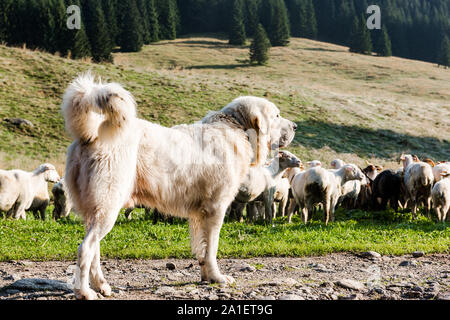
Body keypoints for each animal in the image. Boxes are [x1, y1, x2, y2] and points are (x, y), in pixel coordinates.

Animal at [60, 74, 298, 300]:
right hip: (108, 206)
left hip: (96, 210)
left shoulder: (200, 214)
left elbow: (202, 248)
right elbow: (212, 248)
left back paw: (102, 286)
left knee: (94, 250)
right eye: (277, 116)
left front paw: (206, 277)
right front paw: (218, 277)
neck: (236, 127)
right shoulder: (216, 209)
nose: (295, 126)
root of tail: (91, 134)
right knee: (86, 249)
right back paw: (84, 291)